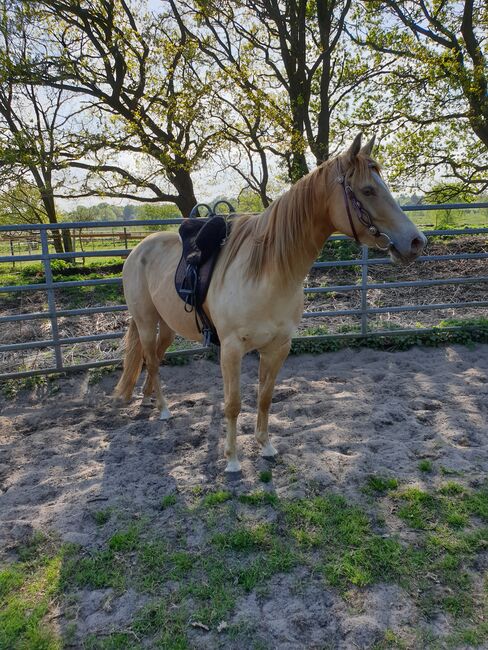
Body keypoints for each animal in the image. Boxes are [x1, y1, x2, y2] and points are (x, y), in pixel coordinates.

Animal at [115, 133, 428, 470]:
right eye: (368, 190)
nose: (416, 241)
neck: (268, 274)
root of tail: (138, 250)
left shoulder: (278, 347)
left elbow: (265, 397)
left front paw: (265, 445)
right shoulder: (231, 349)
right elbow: (233, 403)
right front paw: (233, 459)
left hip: (168, 326)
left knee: (155, 359)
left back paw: (148, 398)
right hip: (147, 323)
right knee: (150, 359)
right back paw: (162, 408)